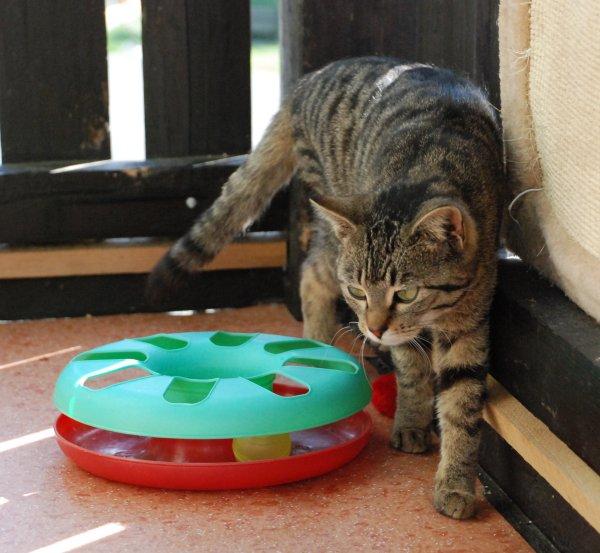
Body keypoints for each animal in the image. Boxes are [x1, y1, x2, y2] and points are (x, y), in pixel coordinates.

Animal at [148, 57, 504, 516]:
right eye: (359, 293)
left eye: (406, 294)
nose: (375, 329)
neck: (430, 169)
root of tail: (308, 81)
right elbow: (411, 369)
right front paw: (412, 420)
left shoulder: (469, 322)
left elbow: (462, 404)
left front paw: (456, 483)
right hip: (330, 218)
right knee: (312, 273)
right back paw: (313, 348)